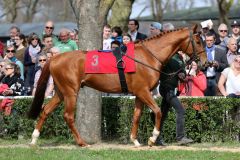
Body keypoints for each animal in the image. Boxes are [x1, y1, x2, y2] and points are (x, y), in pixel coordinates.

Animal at [26, 24, 206, 146]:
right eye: (198, 41)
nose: (205, 63)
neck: (148, 56)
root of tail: (55, 58)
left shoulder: (139, 94)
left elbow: (136, 116)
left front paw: (135, 141)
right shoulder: (143, 91)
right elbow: (157, 111)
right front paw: (152, 138)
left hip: (60, 92)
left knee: (46, 110)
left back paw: (34, 139)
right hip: (71, 92)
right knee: (68, 116)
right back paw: (82, 142)